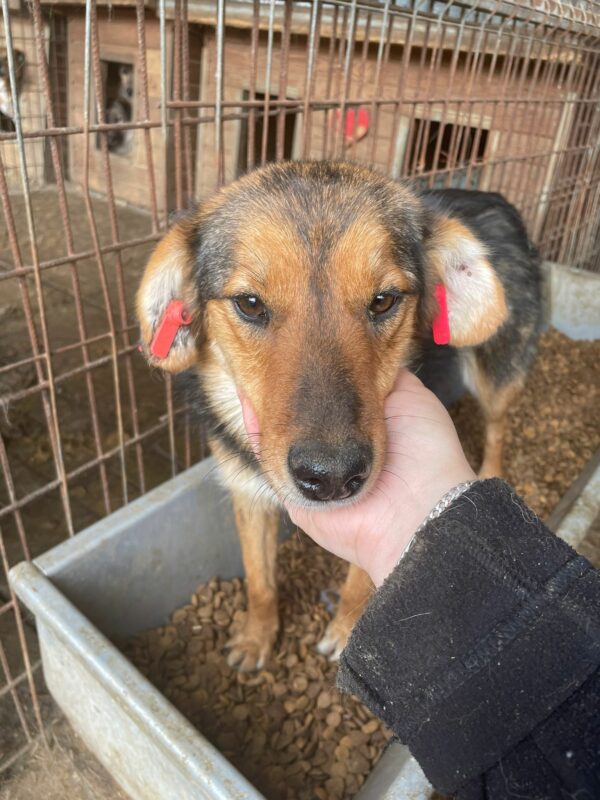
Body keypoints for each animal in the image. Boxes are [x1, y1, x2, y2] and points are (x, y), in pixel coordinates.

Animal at [137, 159, 544, 672]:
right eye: (250, 303)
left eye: (384, 300)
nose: (331, 477)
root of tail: (496, 196)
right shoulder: (247, 492)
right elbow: (259, 579)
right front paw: (256, 637)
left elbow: (359, 581)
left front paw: (347, 628)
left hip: (495, 369)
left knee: (497, 427)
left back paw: (493, 472)